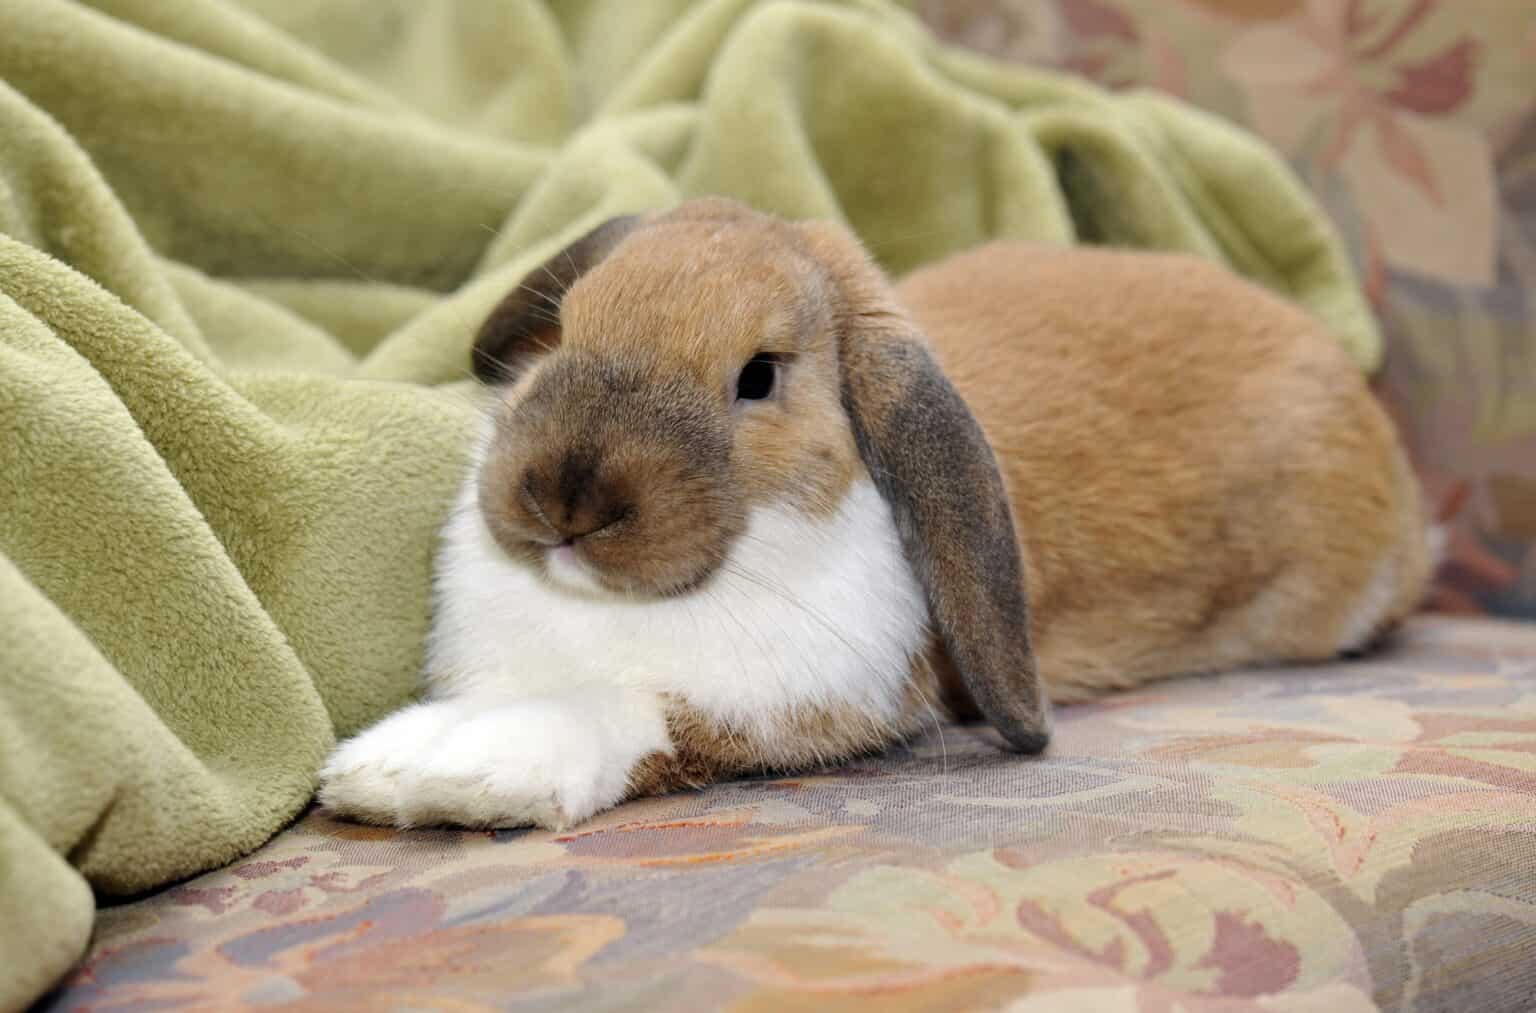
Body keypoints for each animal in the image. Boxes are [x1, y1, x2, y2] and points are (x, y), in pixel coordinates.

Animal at [317, 196, 1433, 831]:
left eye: (759, 376)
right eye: (567, 326)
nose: (563, 497)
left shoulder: (783, 707)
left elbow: (636, 714)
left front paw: (438, 774)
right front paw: (388, 762)